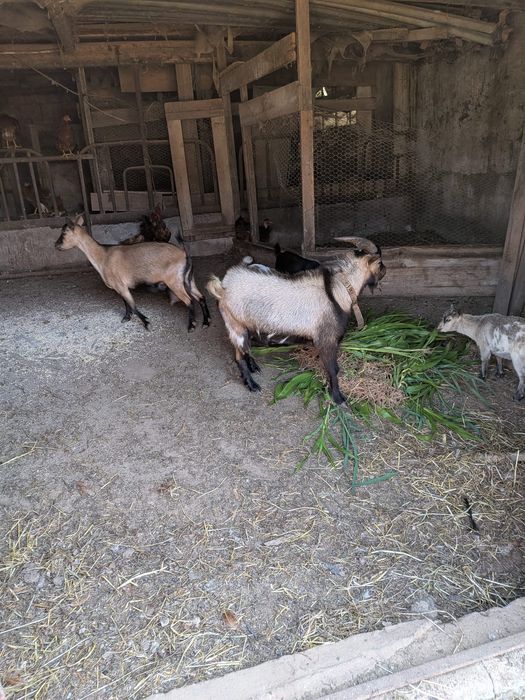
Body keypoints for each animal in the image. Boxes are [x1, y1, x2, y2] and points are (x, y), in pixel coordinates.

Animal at [55, 214, 210, 331]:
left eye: (64, 233)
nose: (56, 245)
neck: (103, 256)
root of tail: (184, 253)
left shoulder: (121, 285)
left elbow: (133, 306)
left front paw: (147, 323)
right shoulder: (120, 287)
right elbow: (126, 304)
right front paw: (126, 318)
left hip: (174, 281)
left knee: (189, 300)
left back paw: (192, 326)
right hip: (188, 279)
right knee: (201, 297)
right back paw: (206, 322)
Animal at [207, 248, 385, 404]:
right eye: (380, 263)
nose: (385, 270)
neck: (337, 293)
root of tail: (222, 287)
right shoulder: (327, 339)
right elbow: (333, 369)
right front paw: (338, 398)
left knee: (245, 350)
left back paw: (254, 367)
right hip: (235, 326)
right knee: (239, 357)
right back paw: (252, 385)